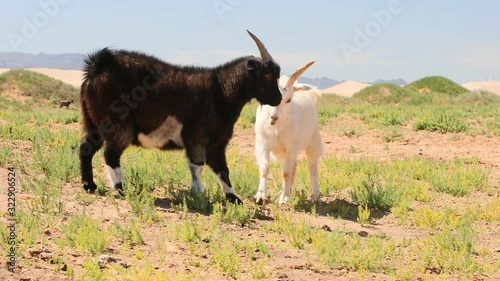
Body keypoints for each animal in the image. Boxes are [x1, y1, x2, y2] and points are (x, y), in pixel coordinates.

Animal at [78, 30, 282, 203]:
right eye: (267, 74)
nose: (278, 98)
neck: (221, 89)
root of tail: (97, 67)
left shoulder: (217, 144)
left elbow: (223, 170)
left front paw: (234, 198)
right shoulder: (198, 139)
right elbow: (198, 167)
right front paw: (199, 196)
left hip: (94, 123)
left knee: (86, 147)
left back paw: (90, 185)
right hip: (117, 125)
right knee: (110, 154)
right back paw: (121, 188)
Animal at [254, 60, 324, 203]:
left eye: (288, 100)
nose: (273, 117)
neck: (276, 128)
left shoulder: (291, 146)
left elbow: (286, 172)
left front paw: (283, 198)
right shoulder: (263, 144)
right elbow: (264, 168)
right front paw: (261, 196)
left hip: (313, 142)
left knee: (312, 166)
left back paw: (315, 195)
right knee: (294, 166)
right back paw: (286, 191)